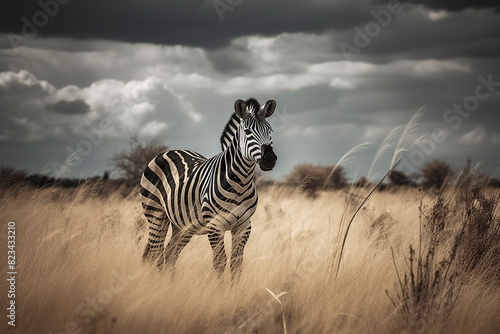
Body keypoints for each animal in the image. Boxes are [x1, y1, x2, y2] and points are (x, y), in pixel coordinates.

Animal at [140, 98, 278, 278]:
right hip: (156, 214)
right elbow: (219, 263)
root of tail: (168, 152)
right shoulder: (215, 226)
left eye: (270, 131)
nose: (269, 159)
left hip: (182, 226)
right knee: (156, 254)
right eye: (247, 132)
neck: (240, 182)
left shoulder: (244, 226)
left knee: (170, 255)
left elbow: (236, 264)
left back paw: (170, 284)